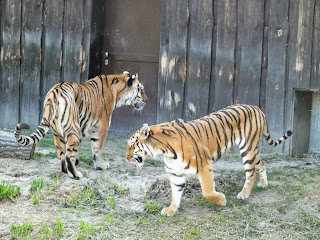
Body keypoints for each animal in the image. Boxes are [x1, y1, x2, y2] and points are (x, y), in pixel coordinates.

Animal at [15, 70, 148, 179]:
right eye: (141, 89)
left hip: (57, 132)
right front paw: (101, 166)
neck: (117, 92)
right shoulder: (101, 128)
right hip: (73, 128)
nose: (146, 101)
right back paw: (75, 174)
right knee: (68, 155)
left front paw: (78, 161)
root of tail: (54, 93)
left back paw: (66, 170)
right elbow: (97, 149)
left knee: (62, 154)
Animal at [125, 104, 292, 217]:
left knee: (251, 173)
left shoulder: (204, 164)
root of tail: (257, 108)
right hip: (253, 150)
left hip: (247, 148)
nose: (126, 159)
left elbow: (207, 191)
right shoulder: (175, 174)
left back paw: (244, 194)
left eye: (132, 146)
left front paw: (221, 200)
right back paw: (263, 183)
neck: (164, 151)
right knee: (262, 163)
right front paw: (171, 209)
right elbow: (175, 194)